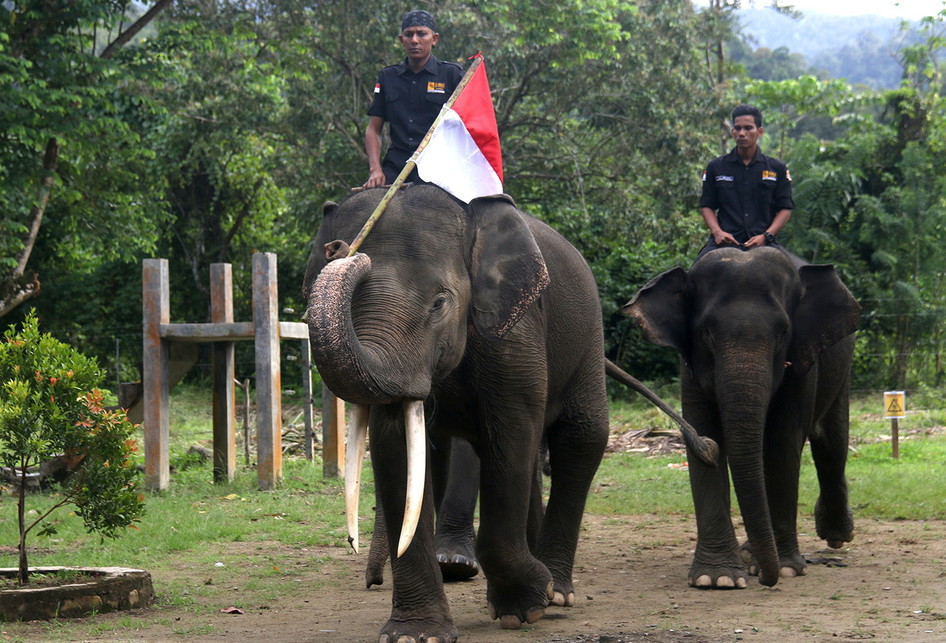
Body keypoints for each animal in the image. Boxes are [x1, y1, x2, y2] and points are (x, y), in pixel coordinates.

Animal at [624, 247, 860, 588]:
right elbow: (706, 432)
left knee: (831, 444)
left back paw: (835, 536)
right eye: (707, 332)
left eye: (784, 332)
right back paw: (752, 554)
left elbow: (782, 443)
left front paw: (785, 569)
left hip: (840, 368)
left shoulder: (802, 363)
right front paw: (716, 579)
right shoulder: (689, 369)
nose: (767, 581)